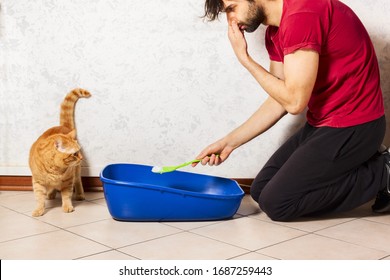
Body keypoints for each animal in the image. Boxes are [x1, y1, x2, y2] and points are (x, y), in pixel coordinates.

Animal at [29, 87, 91, 217]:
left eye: (79, 151)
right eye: (75, 154)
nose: (81, 158)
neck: (55, 169)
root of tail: (62, 126)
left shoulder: (68, 180)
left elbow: (66, 196)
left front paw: (67, 206)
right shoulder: (38, 182)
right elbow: (39, 198)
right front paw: (39, 210)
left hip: (76, 171)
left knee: (78, 181)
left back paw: (79, 195)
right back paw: (51, 194)